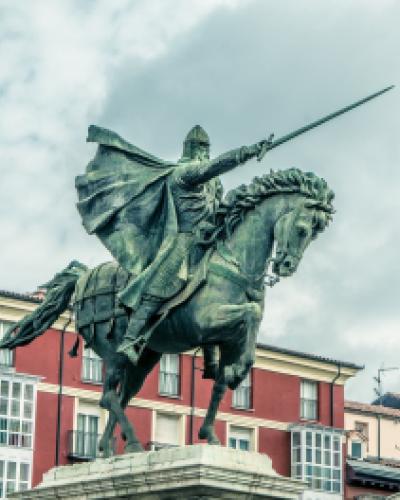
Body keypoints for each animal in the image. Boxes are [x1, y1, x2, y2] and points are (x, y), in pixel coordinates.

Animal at [0, 168, 334, 458]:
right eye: (303, 229)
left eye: (315, 235)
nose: (286, 266)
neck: (234, 263)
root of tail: (82, 278)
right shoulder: (207, 322)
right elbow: (250, 314)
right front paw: (237, 373)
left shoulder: (226, 339)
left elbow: (223, 381)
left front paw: (211, 428)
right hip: (114, 352)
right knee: (109, 396)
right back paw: (132, 444)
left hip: (145, 359)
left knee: (119, 397)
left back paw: (108, 451)